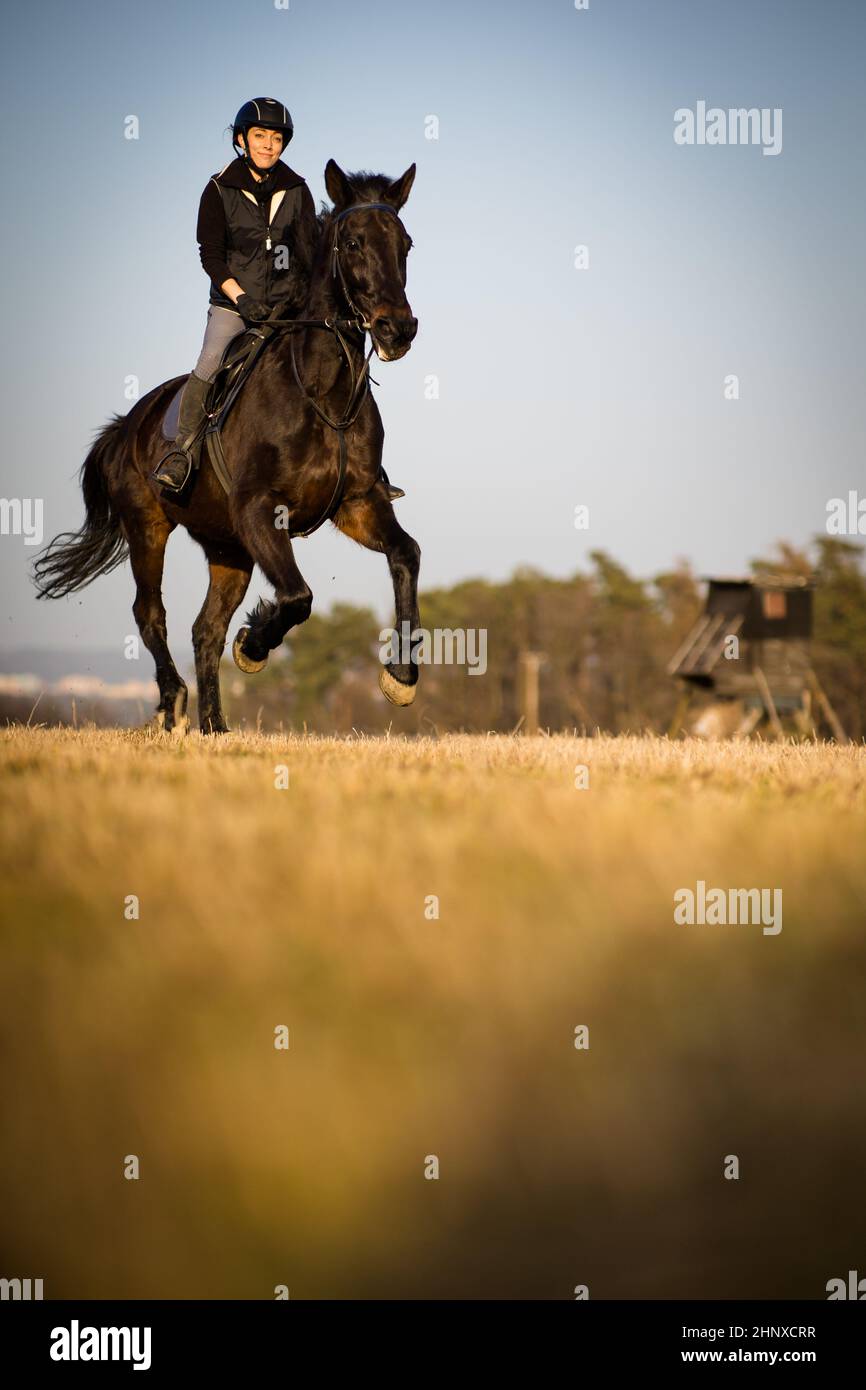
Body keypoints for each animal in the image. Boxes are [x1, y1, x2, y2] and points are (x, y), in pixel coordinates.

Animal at [32, 159, 421, 734]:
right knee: (151, 616)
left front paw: (402, 678)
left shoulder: (356, 505)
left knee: (205, 629)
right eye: (352, 242)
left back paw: (215, 726)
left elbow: (405, 554)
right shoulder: (260, 510)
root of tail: (125, 426)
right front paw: (253, 646)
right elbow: (298, 597)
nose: (399, 328)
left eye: (406, 244)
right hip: (149, 526)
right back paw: (172, 703)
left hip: (228, 546)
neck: (321, 390)